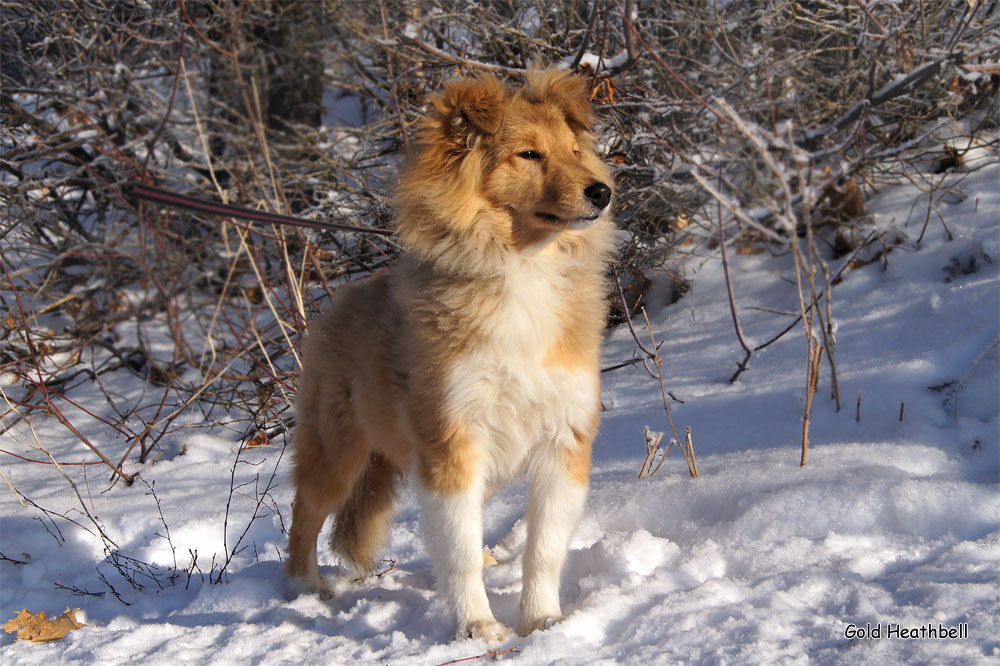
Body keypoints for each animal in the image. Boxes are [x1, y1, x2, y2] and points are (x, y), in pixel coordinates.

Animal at [288, 67, 616, 640]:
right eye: (529, 154)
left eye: (575, 150)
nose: (603, 192)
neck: (522, 266)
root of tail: (339, 302)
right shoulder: (451, 437)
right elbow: (457, 551)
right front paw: (477, 627)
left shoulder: (563, 438)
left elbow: (544, 549)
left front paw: (543, 620)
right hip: (338, 452)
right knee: (304, 513)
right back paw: (306, 588)